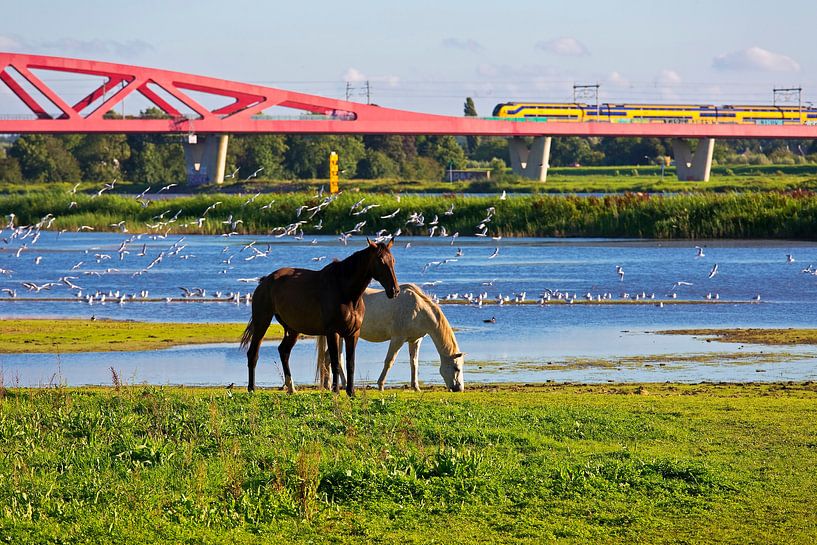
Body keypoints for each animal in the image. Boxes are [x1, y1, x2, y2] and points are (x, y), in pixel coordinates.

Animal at [239, 238, 398, 396]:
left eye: (393, 260)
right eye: (380, 261)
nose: (394, 290)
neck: (345, 293)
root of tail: (265, 281)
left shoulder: (353, 333)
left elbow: (350, 363)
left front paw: (351, 392)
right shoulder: (333, 332)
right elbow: (335, 362)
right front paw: (335, 391)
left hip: (293, 329)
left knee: (283, 352)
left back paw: (291, 388)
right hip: (262, 321)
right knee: (253, 353)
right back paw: (251, 389)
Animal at [316, 280, 462, 392]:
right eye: (456, 368)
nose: (459, 389)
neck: (418, 309)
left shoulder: (415, 341)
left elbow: (414, 363)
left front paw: (416, 387)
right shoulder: (398, 339)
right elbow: (389, 361)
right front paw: (380, 385)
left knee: (329, 357)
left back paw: (328, 385)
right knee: (335, 358)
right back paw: (344, 384)